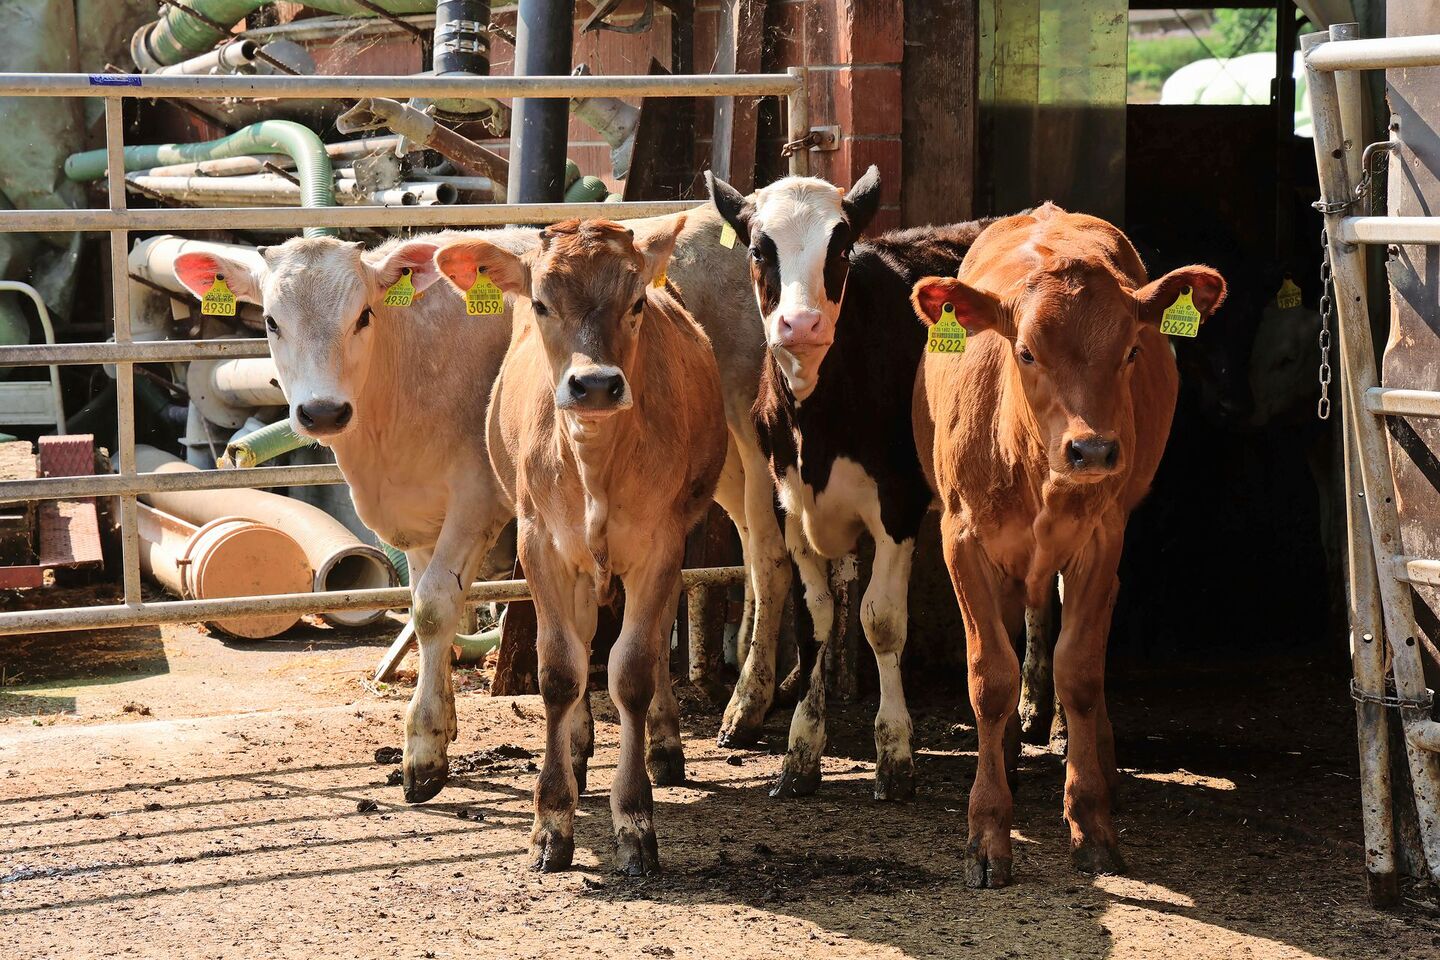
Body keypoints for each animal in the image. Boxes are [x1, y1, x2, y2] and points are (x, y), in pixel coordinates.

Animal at [433, 218, 727, 875]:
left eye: (636, 302)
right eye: (542, 303)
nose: (594, 384)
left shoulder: (662, 544)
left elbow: (633, 670)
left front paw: (636, 819)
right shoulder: (540, 544)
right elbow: (560, 673)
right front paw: (551, 820)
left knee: (648, 640)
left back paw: (662, 744)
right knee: (584, 640)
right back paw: (575, 744)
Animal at [707, 166, 989, 800]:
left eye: (839, 249)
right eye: (759, 249)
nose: (802, 323)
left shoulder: (898, 506)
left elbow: (879, 621)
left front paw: (895, 756)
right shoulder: (788, 505)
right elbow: (815, 619)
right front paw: (801, 753)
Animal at [910, 203, 1225, 887]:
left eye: (1131, 349)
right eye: (1026, 352)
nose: (1094, 450)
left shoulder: (1101, 540)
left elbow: (1079, 670)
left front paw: (1091, 822)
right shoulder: (962, 539)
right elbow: (990, 676)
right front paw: (988, 829)